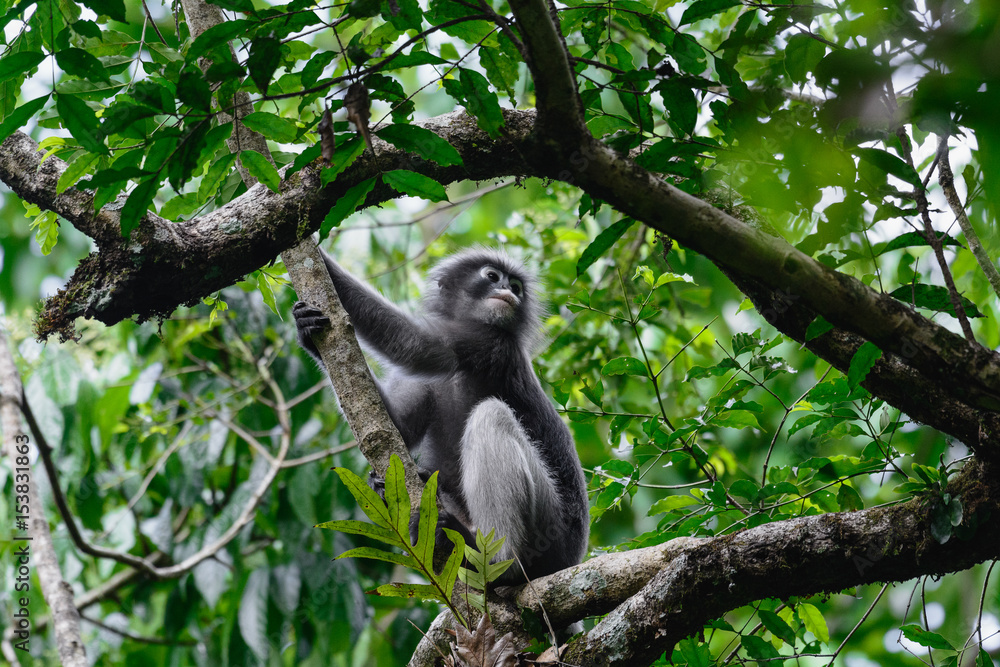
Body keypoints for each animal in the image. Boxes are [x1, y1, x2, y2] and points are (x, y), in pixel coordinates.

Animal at [293, 248, 589, 583]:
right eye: (492, 277)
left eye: (516, 287)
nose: (508, 291)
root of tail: (569, 560)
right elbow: (390, 429)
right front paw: (306, 332)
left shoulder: (490, 342)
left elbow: (415, 344)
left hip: (550, 526)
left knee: (491, 415)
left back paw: (496, 562)